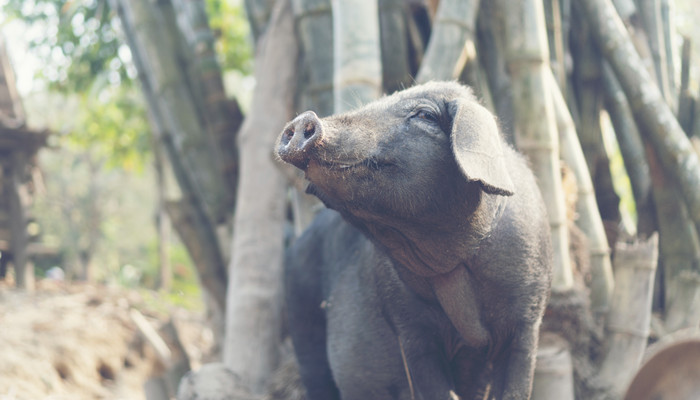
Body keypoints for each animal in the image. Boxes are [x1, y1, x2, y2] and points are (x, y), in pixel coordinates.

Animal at [276, 81, 556, 400]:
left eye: (425, 115)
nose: (303, 118)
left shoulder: (529, 314)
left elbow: (516, 384)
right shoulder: (407, 325)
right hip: (302, 318)